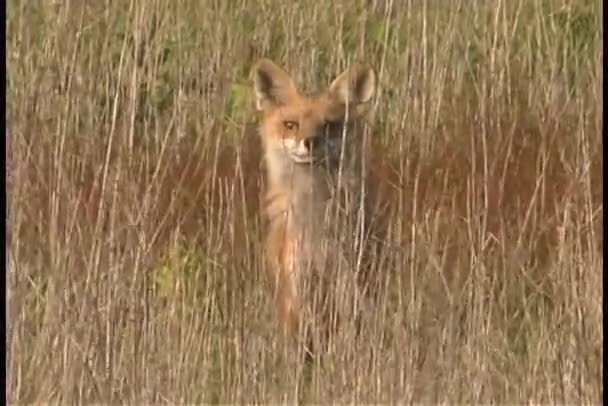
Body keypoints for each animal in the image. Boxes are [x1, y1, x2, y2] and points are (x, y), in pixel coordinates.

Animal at [251, 58, 376, 348]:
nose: (309, 142)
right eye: (290, 125)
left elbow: (348, 326)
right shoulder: (297, 282)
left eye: (329, 125)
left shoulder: (346, 275)